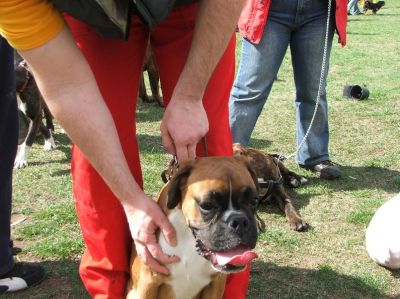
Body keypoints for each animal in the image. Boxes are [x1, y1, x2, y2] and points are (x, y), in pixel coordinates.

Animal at [126, 157, 260, 299]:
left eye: (254, 201)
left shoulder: (216, 284)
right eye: (207, 205)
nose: (239, 221)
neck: (188, 238)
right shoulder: (149, 282)